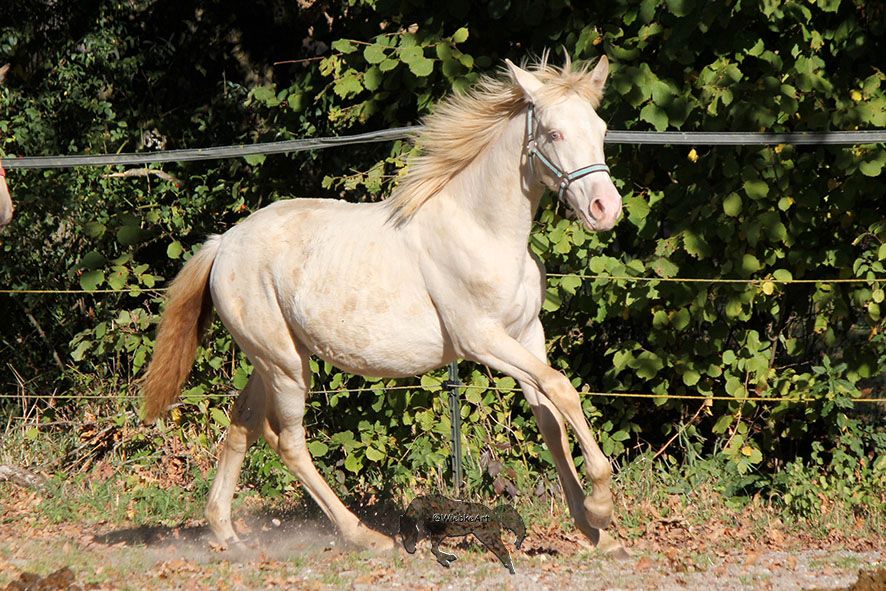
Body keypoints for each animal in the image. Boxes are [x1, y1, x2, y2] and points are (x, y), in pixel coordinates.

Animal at [140, 54, 624, 556]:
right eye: (554, 133)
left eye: (601, 128)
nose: (606, 209)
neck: (484, 231)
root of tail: (224, 243)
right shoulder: (481, 339)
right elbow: (563, 389)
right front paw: (601, 507)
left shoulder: (528, 333)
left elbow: (550, 419)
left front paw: (596, 531)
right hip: (286, 365)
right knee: (287, 440)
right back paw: (364, 535)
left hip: (270, 359)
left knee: (243, 424)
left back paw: (226, 532)